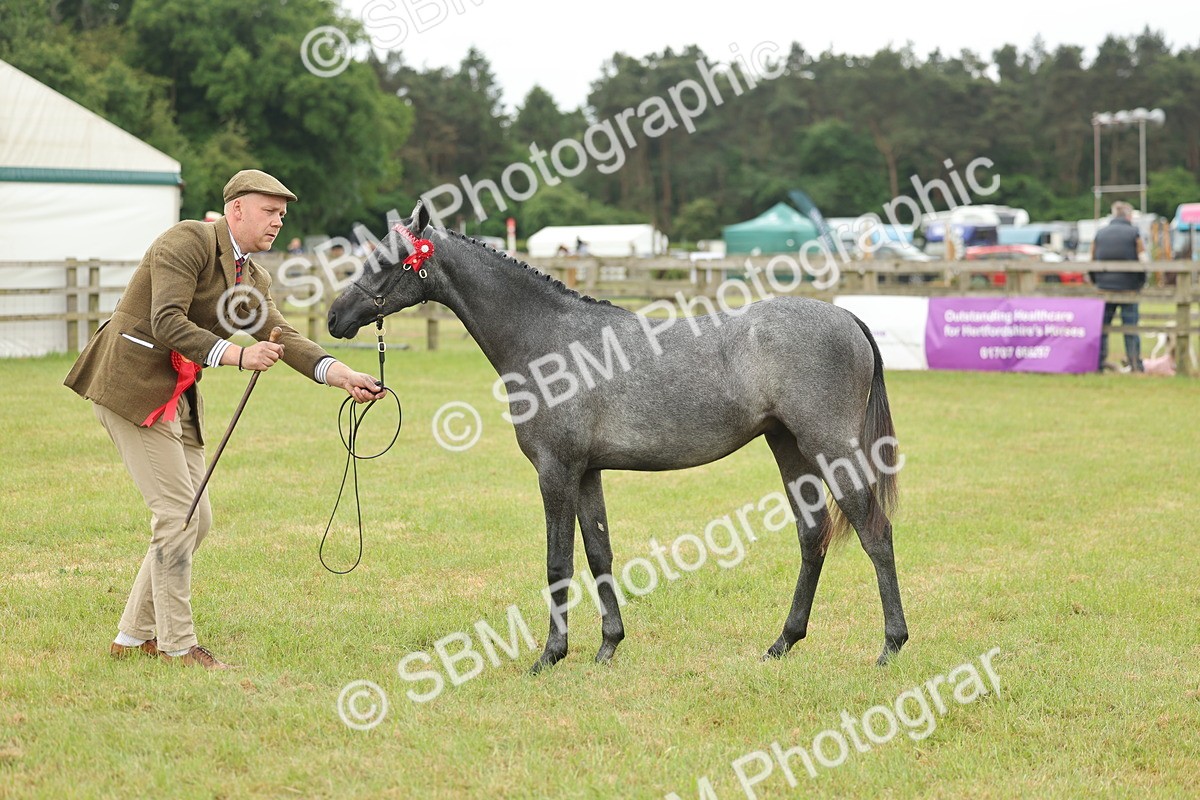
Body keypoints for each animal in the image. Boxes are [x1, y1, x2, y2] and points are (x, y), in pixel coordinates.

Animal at [327, 200, 908, 672]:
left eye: (389, 261)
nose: (335, 317)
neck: (548, 340)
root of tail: (847, 318)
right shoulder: (587, 473)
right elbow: (599, 553)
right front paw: (608, 646)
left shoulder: (556, 471)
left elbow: (558, 561)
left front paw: (551, 655)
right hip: (789, 448)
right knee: (812, 537)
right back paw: (782, 643)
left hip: (832, 451)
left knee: (875, 533)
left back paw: (890, 646)